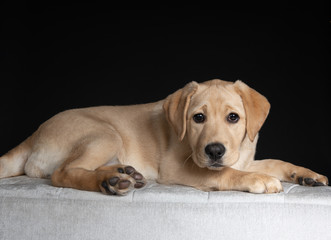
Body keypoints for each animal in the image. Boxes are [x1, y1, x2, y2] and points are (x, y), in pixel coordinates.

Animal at [0, 79, 328, 194]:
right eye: (198, 118)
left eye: (233, 118)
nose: (214, 151)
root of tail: (33, 135)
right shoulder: (177, 168)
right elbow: (223, 174)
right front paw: (257, 180)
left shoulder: (244, 158)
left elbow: (275, 162)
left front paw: (306, 175)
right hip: (104, 133)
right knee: (62, 173)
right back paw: (110, 182)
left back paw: (122, 173)